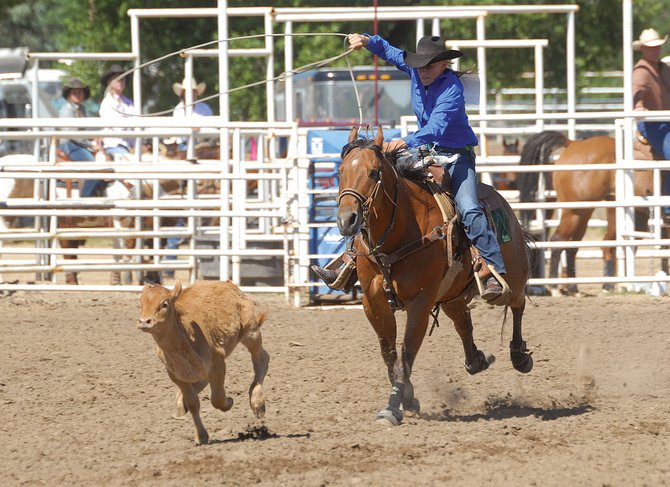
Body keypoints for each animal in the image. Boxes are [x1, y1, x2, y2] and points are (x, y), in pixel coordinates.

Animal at [338, 127, 532, 428]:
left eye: (373, 172)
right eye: (341, 171)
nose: (347, 219)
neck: (399, 232)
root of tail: (503, 204)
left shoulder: (420, 302)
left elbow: (406, 354)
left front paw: (392, 408)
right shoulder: (373, 301)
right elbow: (389, 354)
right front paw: (407, 397)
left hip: (511, 278)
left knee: (517, 303)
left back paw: (519, 356)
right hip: (451, 295)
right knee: (464, 323)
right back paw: (476, 360)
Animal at [516, 132, 652, 296]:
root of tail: (572, 144)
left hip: (584, 213)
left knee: (573, 246)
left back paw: (575, 288)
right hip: (575, 211)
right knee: (559, 240)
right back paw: (555, 287)